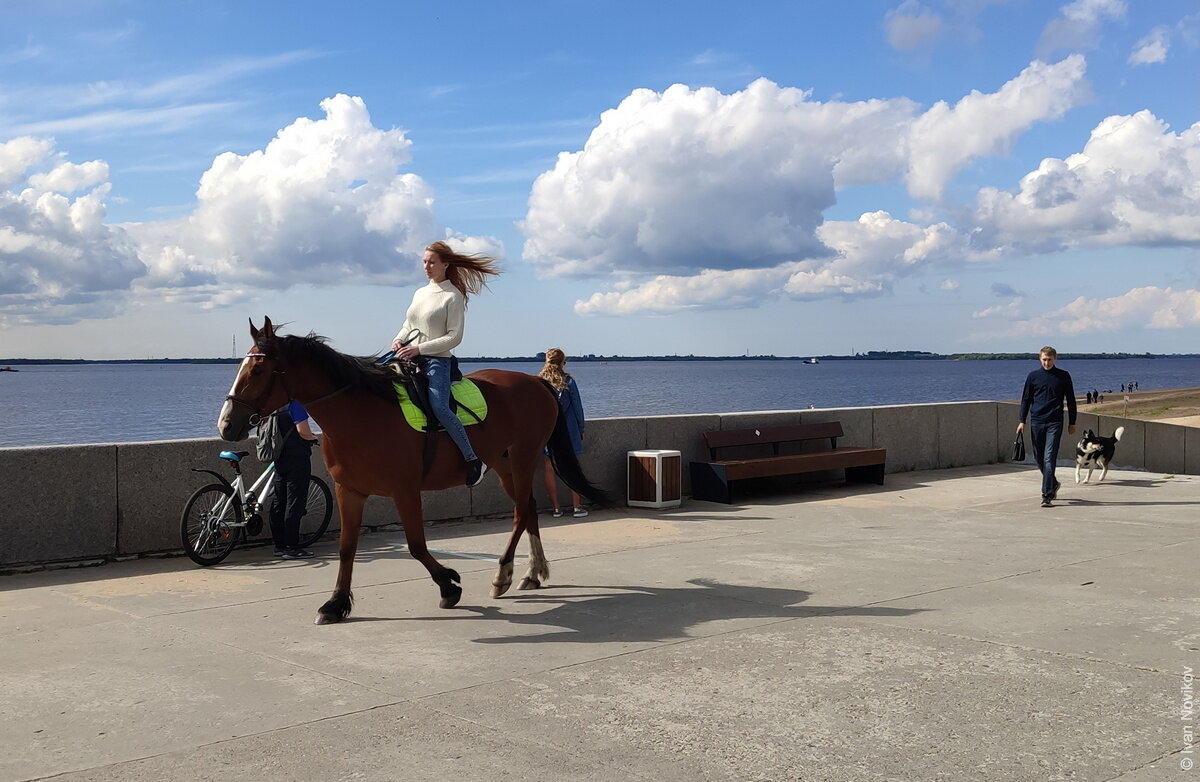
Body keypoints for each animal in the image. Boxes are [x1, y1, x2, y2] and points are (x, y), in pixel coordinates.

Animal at [217, 314, 614, 628]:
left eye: (257, 370)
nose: (226, 424)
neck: (360, 413)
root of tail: (537, 382)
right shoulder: (349, 490)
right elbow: (346, 547)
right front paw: (336, 603)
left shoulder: (405, 489)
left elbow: (416, 545)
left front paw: (448, 584)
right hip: (504, 462)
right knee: (528, 509)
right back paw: (532, 573)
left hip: (523, 456)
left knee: (521, 512)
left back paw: (504, 574)